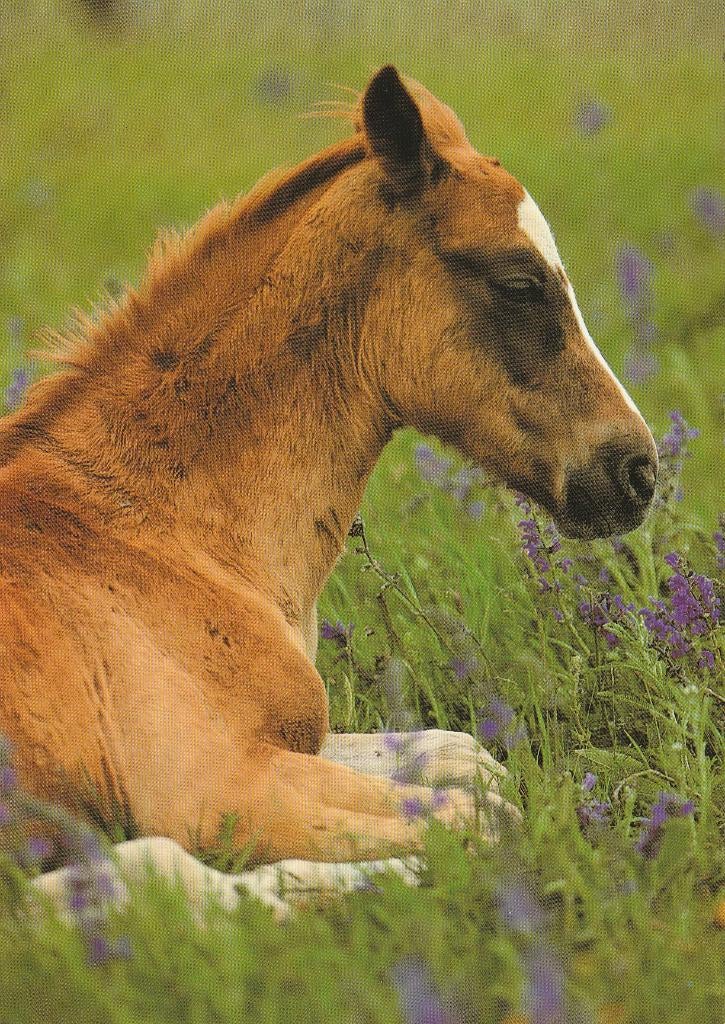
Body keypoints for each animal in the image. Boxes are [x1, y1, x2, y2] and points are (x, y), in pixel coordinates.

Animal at [0, 66, 657, 880]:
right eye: (517, 281)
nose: (638, 470)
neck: (158, 532)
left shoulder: (298, 745)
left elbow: (464, 758)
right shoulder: (217, 790)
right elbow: (479, 819)